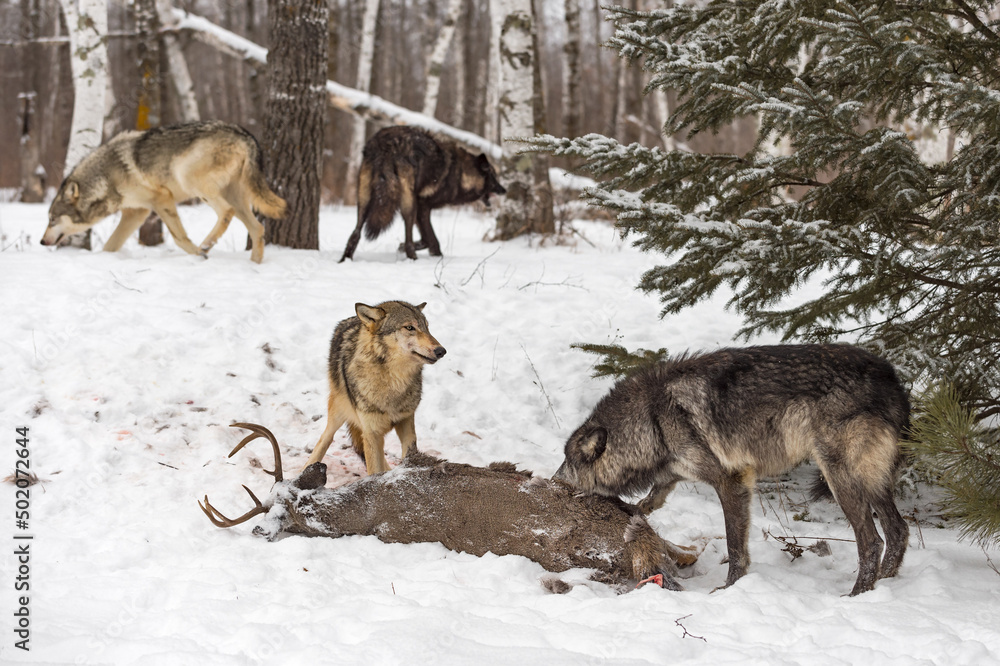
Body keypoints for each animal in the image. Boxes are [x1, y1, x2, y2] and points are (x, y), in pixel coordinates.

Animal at [41, 121, 286, 263]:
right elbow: (111, 244)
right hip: (235, 196)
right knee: (257, 228)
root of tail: (245, 134)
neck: (106, 176)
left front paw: (198, 254)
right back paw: (254, 265)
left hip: (192, 181)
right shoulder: (136, 213)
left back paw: (207, 244)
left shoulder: (161, 200)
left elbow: (179, 238)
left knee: (227, 212)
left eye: (52, 219)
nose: (42, 242)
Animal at [199, 423, 700, 592]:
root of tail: (640, 542)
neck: (367, 506)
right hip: (632, 519)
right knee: (673, 550)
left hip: (579, 551)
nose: (261, 529)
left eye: (282, 510)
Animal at [305, 301, 446, 476]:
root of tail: (350, 319)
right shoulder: (372, 433)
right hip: (339, 411)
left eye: (427, 327)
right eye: (410, 327)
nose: (441, 351)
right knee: (325, 438)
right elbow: (373, 470)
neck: (394, 381)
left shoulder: (406, 423)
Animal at [338, 126, 506, 262]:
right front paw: (436, 256)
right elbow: (431, 238)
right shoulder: (423, 206)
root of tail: (388, 144)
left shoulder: (421, 209)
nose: (504, 190)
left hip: (363, 201)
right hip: (409, 205)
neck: (460, 174)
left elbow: (427, 238)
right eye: (493, 176)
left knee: (355, 233)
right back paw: (413, 258)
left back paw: (345, 259)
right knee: (408, 238)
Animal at [553, 344, 911, 596]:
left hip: (839, 479)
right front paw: (633, 518)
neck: (653, 418)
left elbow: (735, 547)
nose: (553, 480)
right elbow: (647, 503)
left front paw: (728, 588)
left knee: (872, 541)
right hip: (873, 483)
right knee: (899, 530)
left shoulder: (731, 482)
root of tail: (891, 376)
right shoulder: (673, 475)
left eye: (567, 462)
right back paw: (885, 581)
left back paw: (857, 595)